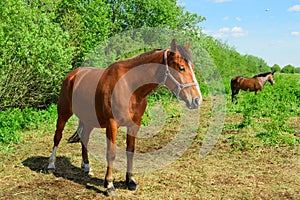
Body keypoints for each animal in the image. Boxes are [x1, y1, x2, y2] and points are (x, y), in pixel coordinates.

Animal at [47, 39, 202, 195]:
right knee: (57, 136)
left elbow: (130, 151)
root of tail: (72, 75)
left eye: (193, 67)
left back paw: (86, 166)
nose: (197, 100)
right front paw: (109, 184)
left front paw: (130, 181)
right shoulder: (112, 124)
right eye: (181, 68)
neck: (130, 86)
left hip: (89, 119)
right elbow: (111, 153)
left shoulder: (134, 124)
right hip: (63, 113)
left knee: (84, 138)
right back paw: (51, 165)